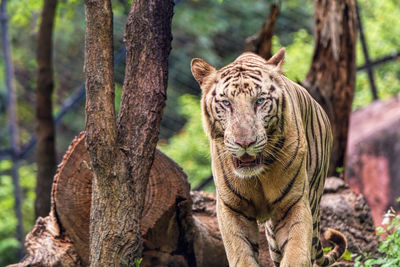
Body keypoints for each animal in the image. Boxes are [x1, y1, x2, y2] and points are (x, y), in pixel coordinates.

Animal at [191, 48, 346, 267]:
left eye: (259, 101)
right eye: (227, 103)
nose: (245, 142)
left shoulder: (292, 203)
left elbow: (296, 253)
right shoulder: (232, 209)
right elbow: (242, 255)